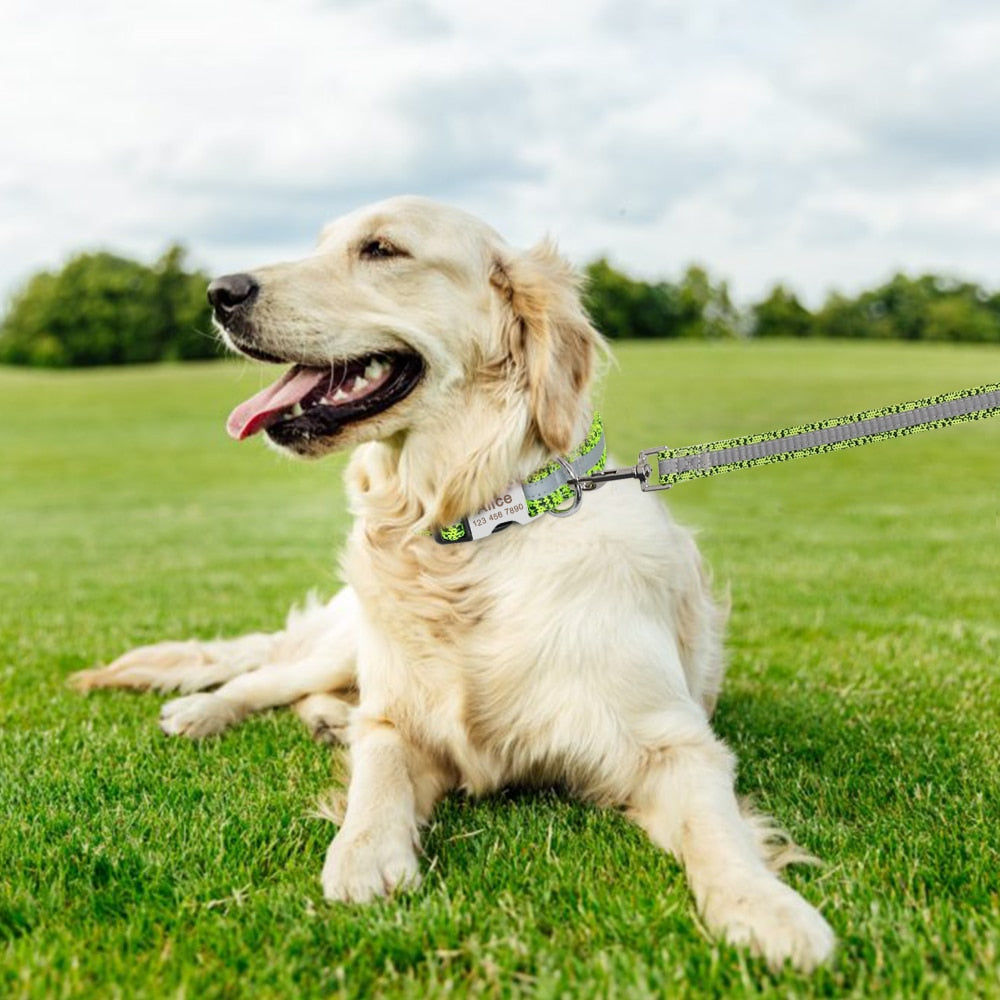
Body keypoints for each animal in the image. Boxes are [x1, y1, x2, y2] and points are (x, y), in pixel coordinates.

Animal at [74, 193, 832, 968]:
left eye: (381, 249)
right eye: (320, 244)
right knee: (267, 677)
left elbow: (716, 828)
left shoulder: (673, 742)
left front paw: (766, 908)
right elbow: (378, 767)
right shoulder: (400, 716)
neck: (472, 531)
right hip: (350, 638)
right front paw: (363, 852)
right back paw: (208, 711)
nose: (219, 292)